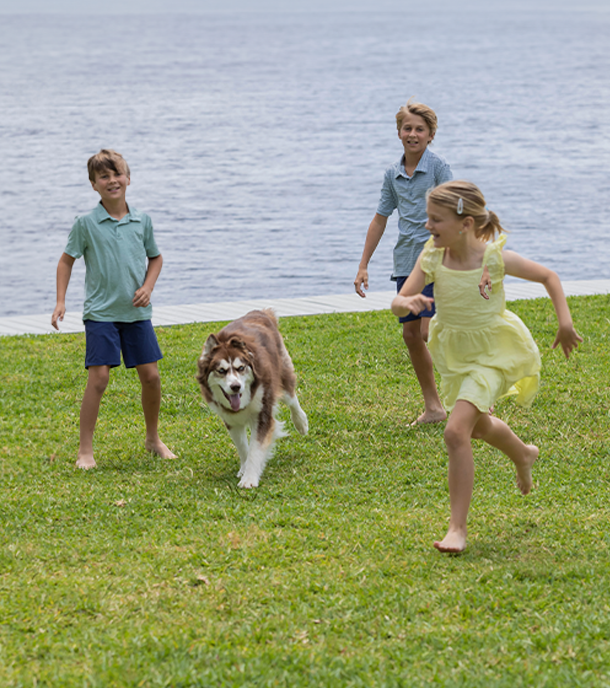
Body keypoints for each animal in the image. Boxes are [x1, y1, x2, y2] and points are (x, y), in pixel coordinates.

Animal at [196, 310, 308, 486]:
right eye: (221, 371)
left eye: (241, 368)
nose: (236, 386)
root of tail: (259, 312)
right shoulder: (231, 420)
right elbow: (243, 447)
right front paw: (245, 468)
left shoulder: (263, 414)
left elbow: (256, 448)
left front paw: (249, 478)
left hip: (281, 373)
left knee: (291, 398)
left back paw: (301, 423)